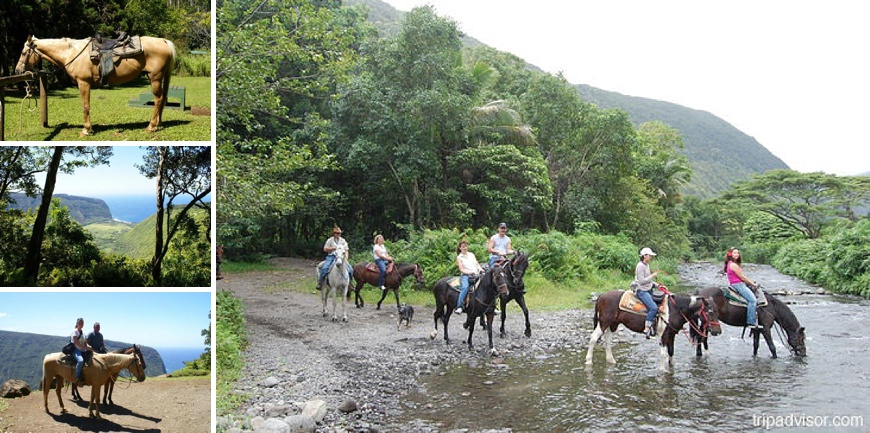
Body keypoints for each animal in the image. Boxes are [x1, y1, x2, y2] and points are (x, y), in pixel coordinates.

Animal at [14, 34, 177, 135]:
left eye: (23, 53)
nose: (17, 70)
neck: (72, 52)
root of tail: (163, 41)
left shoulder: (84, 83)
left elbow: (85, 106)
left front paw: (86, 130)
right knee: (162, 99)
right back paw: (157, 123)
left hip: (155, 78)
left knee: (158, 100)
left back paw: (151, 126)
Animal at [584, 288, 724, 370]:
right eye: (710, 312)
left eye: (718, 312)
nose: (718, 331)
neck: (675, 309)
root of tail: (601, 296)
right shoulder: (663, 334)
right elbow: (663, 354)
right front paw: (663, 371)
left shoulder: (672, 334)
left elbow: (671, 352)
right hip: (604, 322)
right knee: (593, 338)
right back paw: (589, 361)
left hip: (613, 324)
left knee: (607, 340)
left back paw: (611, 360)